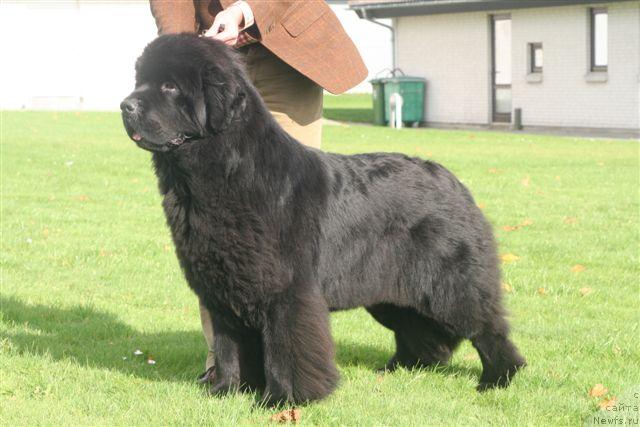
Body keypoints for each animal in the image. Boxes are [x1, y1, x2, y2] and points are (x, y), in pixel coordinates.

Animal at [120, 34, 524, 404]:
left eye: (170, 86)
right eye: (140, 81)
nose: (125, 105)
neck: (222, 172)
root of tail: (452, 181)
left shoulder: (287, 291)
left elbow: (286, 348)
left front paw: (282, 400)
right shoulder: (223, 286)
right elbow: (227, 345)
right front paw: (225, 392)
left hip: (451, 285)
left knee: (486, 327)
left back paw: (498, 379)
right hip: (390, 292)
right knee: (419, 331)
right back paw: (400, 369)